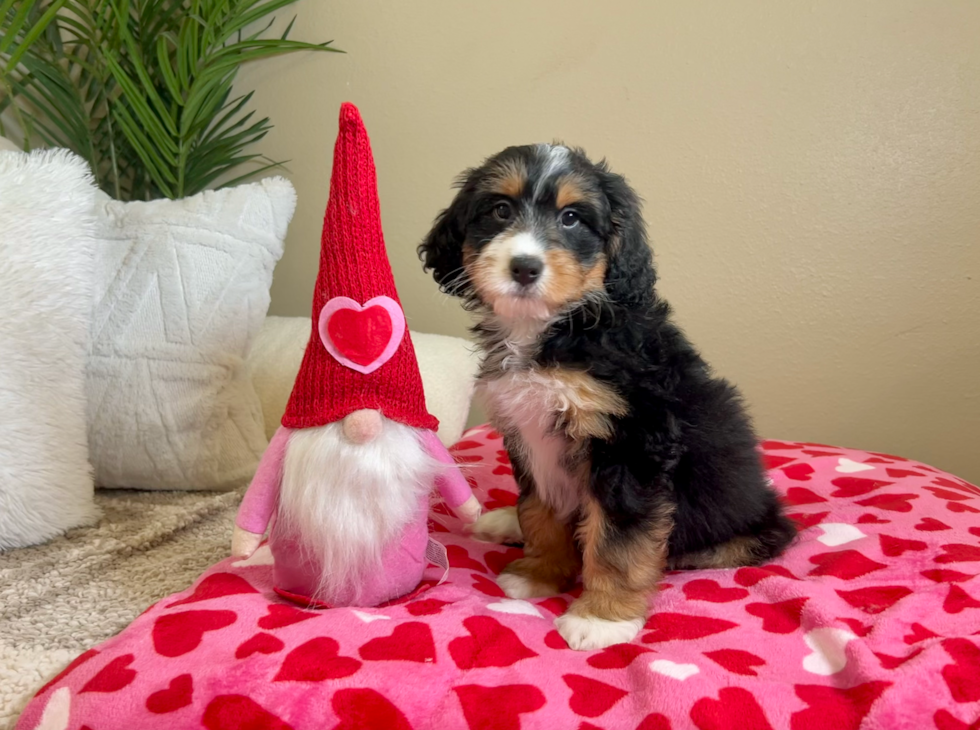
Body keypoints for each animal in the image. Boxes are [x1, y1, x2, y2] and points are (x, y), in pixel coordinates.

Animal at [416, 142, 796, 648]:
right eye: (500, 210)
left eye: (572, 218)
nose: (525, 267)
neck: (557, 328)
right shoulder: (531, 434)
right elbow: (540, 508)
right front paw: (540, 573)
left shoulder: (630, 445)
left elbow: (618, 539)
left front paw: (601, 617)